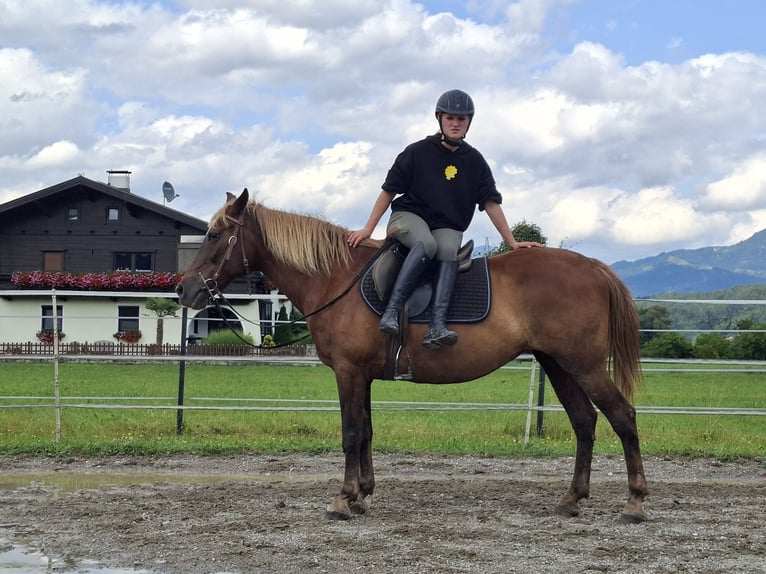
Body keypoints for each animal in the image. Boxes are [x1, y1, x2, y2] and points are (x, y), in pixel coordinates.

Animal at [175, 188, 649, 524]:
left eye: (214, 235)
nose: (185, 290)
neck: (336, 278)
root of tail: (592, 266)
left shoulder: (347, 373)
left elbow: (350, 433)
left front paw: (342, 499)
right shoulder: (362, 375)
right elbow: (366, 432)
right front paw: (362, 494)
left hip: (584, 366)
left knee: (623, 417)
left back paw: (635, 502)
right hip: (559, 365)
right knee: (585, 422)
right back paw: (571, 499)